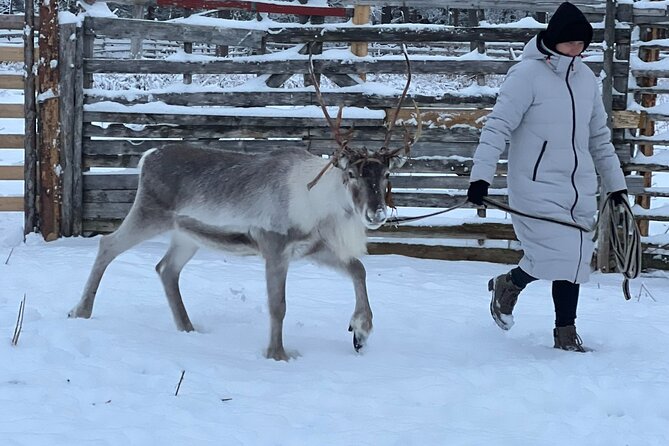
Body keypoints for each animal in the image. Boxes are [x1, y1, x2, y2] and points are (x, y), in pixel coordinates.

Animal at [68, 47, 420, 361]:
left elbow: (358, 269)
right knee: (108, 244)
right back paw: (80, 311)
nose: (377, 213)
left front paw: (360, 331)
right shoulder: (274, 246)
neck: (321, 207)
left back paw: (187, 328)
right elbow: (278, 306)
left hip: (186, 234)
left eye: (387, 173)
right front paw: (277, 355)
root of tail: (147, 157)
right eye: (351, 174)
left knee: (166, 269)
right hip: (149, 213)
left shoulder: (313, 248)